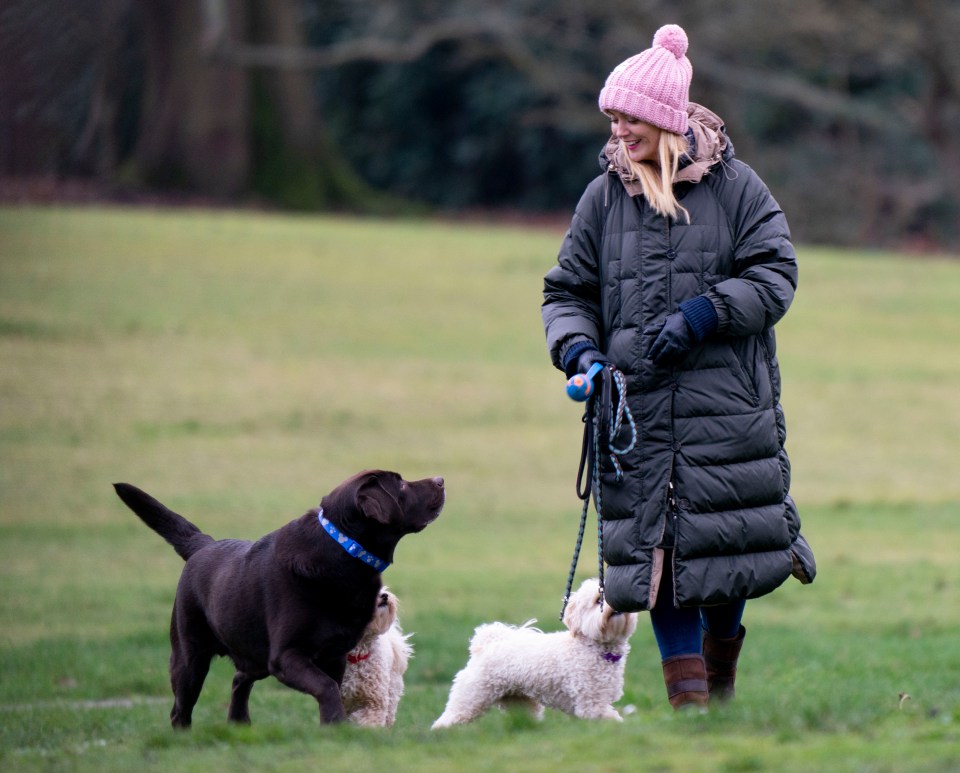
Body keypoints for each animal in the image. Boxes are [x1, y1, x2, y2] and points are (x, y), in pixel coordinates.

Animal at [432, 576, 632, 728]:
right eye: (598, 600)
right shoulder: (592, 704)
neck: (594, 648)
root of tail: (485, 644)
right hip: (472, 696)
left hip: (519, 701)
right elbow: (612, 719)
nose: (616, 604)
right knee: (450, 718)